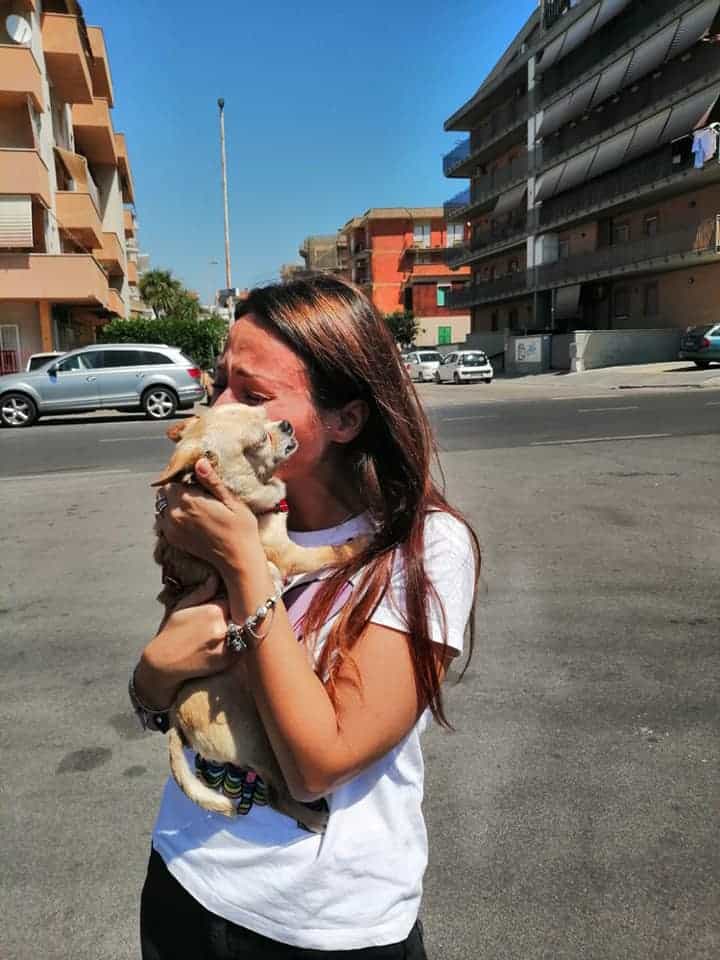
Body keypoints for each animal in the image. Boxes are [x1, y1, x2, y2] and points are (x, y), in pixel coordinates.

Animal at [153, 402, 366, 828]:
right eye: (256, 443)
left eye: (263, 411)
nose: (284, 424)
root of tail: (176, 723)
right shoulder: (289, 553)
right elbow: (330, 552)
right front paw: (363, 541)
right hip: (260, 740)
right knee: (280, 793)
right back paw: (312, 818)